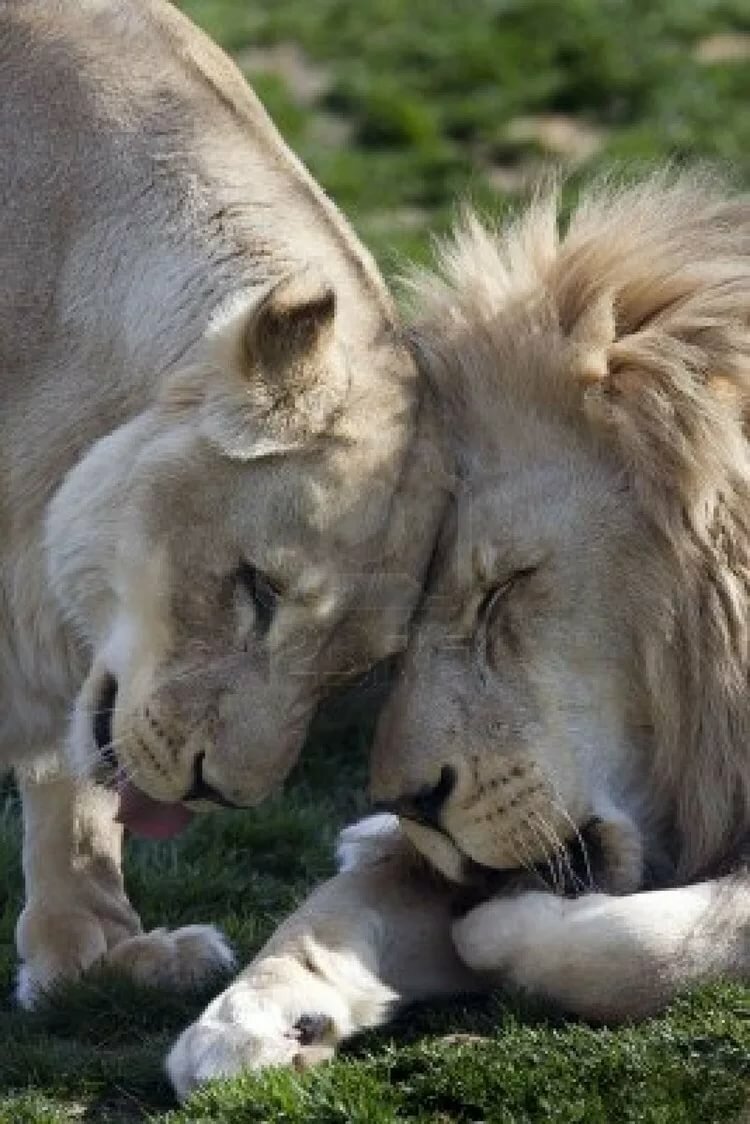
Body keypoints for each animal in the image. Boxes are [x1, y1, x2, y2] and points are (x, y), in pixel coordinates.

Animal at [166, 171, 750, 1098]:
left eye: (502, 590)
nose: (411, 802)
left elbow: (650, 942)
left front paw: (496, 933)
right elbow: (339, 904)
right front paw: (248, 1017)